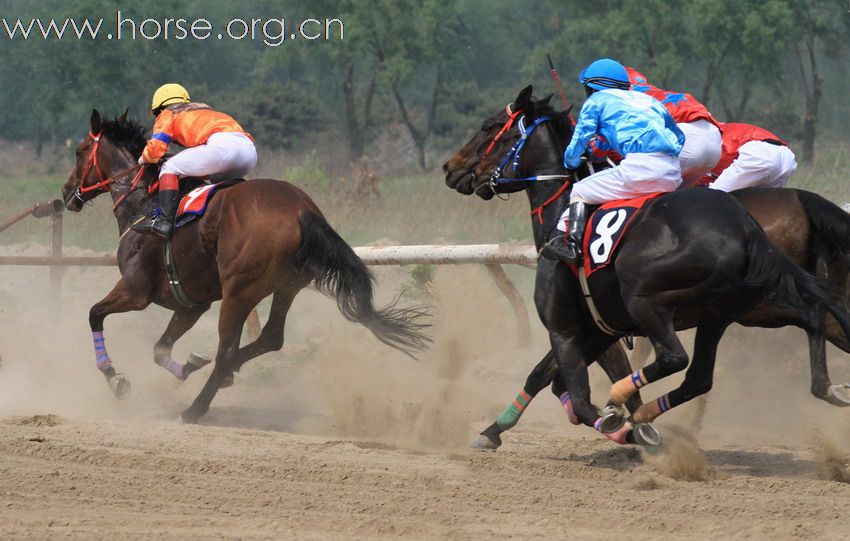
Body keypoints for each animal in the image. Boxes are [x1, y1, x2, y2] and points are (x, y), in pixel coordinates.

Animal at [59, 109, 428, 422]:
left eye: (79, 151)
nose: (66, 193)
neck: (143, 203)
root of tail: (301, 210)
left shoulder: (136, 292)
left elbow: (94, 314)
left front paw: (115, 378)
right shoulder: (191, 303)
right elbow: (160, 350)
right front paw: (187, 366)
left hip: (239, 291)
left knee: (228, 350)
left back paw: (195, 409)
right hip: (286, 286)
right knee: (270, 338)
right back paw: (224, 377)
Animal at [440, 86, 848, 446]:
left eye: (490, 126)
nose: (450, 167)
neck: (561, 216)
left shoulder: (571, 326)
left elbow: (565, 382)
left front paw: (624, 422)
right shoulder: (601, 327)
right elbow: (547, 376)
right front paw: (495, 429)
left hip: (668, 300)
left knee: (681, 359)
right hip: (742, 307)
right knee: (810, 322)